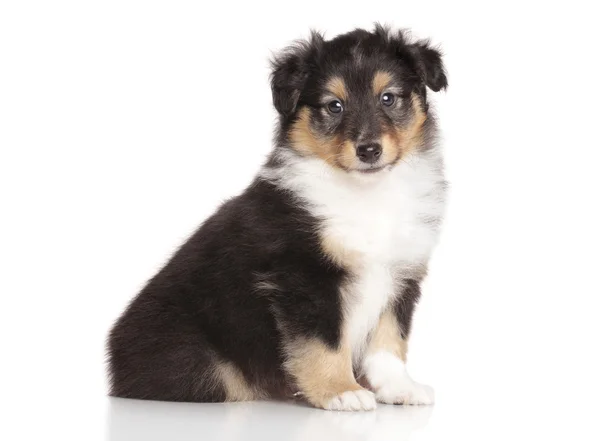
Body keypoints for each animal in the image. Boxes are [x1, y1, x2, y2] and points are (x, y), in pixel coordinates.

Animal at [106, 24, 446, 410]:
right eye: (334, 105)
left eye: (388, 98)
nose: (369, 150)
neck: (368, 194)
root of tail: (114, 367)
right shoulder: (302, 275)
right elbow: (325, 341)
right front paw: (341, 390)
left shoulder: (401, 271)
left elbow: (390, 338)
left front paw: (400, 387)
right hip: (201, 361)